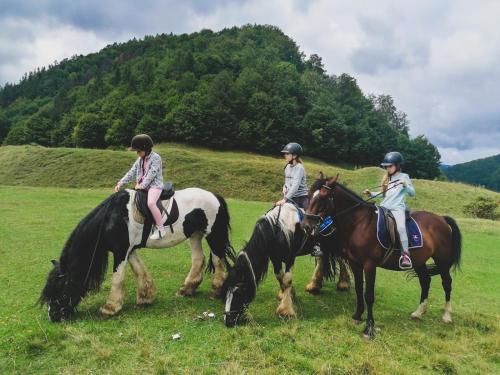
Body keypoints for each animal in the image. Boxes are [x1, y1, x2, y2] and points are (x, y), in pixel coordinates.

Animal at [39, 188, 234, 324]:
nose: (52, 316)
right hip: (195, 235)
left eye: (60, 288)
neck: (112, 217)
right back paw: (187, 289)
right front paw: (145, 297)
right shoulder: (129, 250)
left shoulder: (120, 251)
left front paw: (110, 308)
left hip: (213, 235)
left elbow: (118, 277)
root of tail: (215, 196)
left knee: (218, 260)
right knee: (198, 259)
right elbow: (139, 270)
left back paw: (216, 290)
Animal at [298, 176, 462, 340]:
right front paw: (357, 316)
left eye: (323, 197)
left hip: (442, 261)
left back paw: (447, 315)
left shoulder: (369, 265)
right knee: (425, 281)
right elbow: (359, 289)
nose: (305, 225)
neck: (360, 223)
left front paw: (369, 328)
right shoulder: (355, 264)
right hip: (419, 261)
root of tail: (441, 219)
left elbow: (369, 295)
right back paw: (419, 312)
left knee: (447, 283)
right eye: (309, 195)